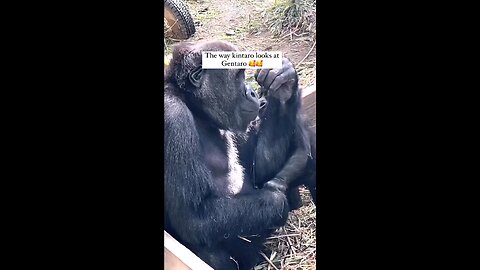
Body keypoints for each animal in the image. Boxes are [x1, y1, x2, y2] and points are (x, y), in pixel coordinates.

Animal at [164, 40, 296, 270]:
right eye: (239, 76)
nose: (252, 93)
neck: (194, 106)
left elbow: (260, 169)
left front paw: (284, 82)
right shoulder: (172, 117)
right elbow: (194, 219)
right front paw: (277, 201)